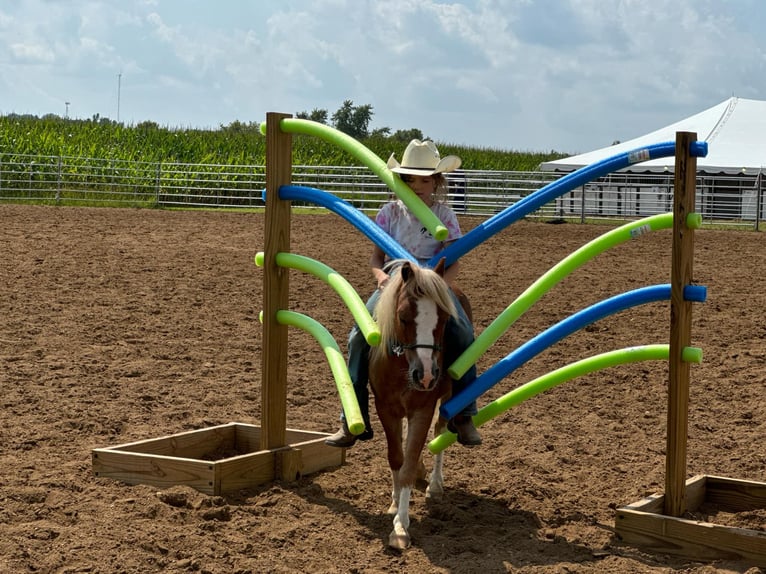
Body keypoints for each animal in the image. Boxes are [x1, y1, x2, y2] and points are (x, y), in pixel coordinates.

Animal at [370, 258, 472, 552]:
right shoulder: (385, 408)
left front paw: (400, 527)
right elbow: (396, 457)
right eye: (403, 317)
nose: (425, 376)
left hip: (447, 395)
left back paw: (434, 485)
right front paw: (394, 503)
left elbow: (409, 461)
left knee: (440, 431)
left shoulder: (422, 411)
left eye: (445, 320)